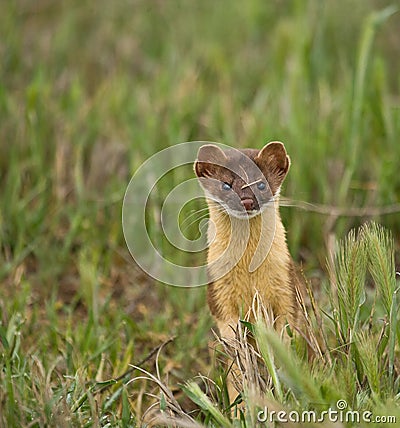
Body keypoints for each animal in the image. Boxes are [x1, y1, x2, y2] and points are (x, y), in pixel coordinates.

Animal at [195, 142, 304, 340]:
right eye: (226, 185)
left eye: (261, 184)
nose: (246, 201)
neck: (250, 272)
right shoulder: (217, 289)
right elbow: (228, 325)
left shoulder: (287, 284)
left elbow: (288, 323)